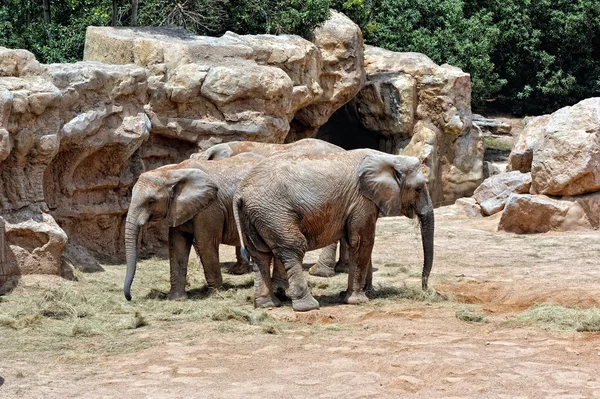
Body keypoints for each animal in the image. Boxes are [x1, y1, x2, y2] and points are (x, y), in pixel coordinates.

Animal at [123, 155, 290, 302]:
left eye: (151, 201)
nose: (130, 297)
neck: (173, 171)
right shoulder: (179, 208)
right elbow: (177, 245)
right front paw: (176, 298)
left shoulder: (210, 208)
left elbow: (205, 244)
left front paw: (216, 294)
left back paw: (278, 287)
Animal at [232, 149, 434, 312]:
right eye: (418, 189)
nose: (426, 290)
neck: (389, 158)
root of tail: (239, 194)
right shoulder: (362, 201)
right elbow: (362, 241)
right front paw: (358, 300)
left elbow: (362, 242)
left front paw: (362, 293)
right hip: (274, 214)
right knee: (292, 249)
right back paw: (308, 307)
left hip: (254, 216)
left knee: (260, 254)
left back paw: (267, 305)